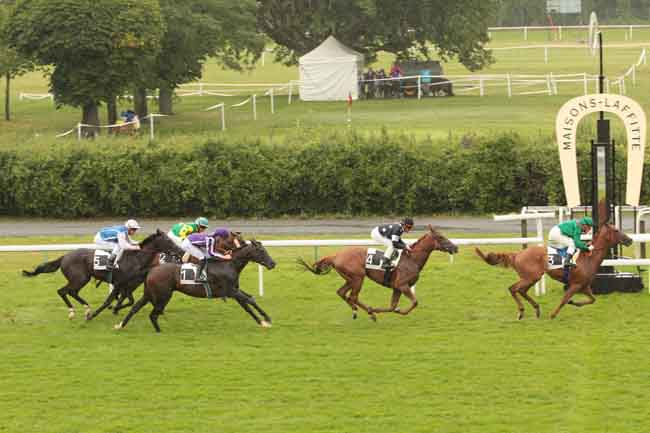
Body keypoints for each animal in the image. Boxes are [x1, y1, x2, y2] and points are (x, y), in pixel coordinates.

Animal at [22, 230, 184, 318]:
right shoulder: (120, 283)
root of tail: (65, 256)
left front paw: (115, 309)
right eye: (168, 240)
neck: (136, 259)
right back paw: (73, 312)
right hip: (79, 278)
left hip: (82, 279)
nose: (181, 252)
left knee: (71, 292)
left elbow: (128, 300)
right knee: (63, 291)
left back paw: (86, 309)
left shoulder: (127, 285)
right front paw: (106, 310)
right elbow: (110, 300)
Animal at [298, 224, 456, 318]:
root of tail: (336, 255)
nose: (455, 247)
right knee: (352, 296)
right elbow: (415, 302)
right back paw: (365, 311)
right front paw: (399, 311)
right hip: (358, 277)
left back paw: (363, 311)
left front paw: (388, 310)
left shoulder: (397, 288)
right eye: (441, 237)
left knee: (342, 293)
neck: (412, 259)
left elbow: (392, 306)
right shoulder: (402, 285)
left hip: (350, 278)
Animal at [474, 221, 632, 318]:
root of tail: (517, 254)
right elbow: (564, 300)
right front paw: (553, 314)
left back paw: (536, 309)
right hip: (531, 277)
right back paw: (522, 311)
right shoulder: (575, 285)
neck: (589, 258)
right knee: (514, 289)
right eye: (617, 230)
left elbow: (592, 300)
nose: (630, 240)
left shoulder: (584, 285)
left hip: (531, 278)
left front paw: (574, 303)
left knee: (521, 290)